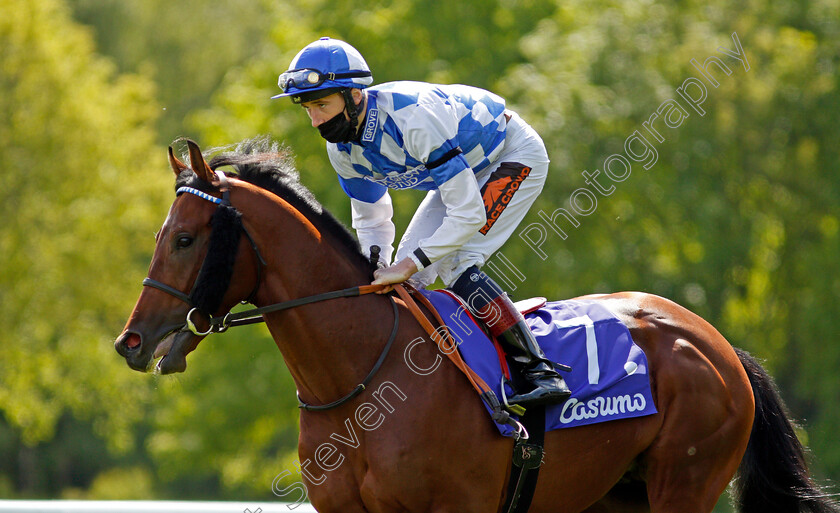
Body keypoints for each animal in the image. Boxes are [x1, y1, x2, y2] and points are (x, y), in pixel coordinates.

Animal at [115, 137, 836, 512]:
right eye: (160, 236)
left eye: (184, 239)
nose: (131, 341)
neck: (361, 381)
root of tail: (717, 344)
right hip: (614, 494)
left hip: (685, 482)